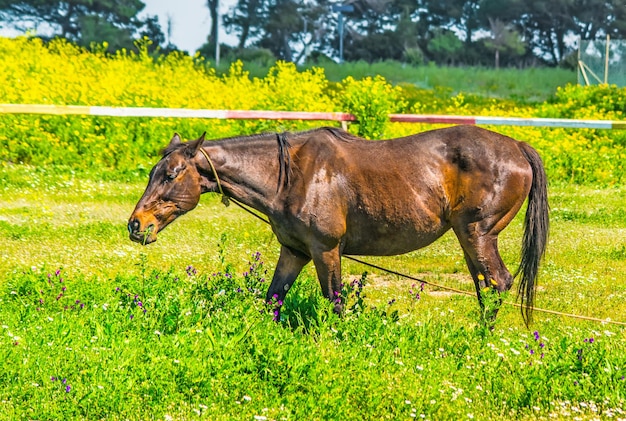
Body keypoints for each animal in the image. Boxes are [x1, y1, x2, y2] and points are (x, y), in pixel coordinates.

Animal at [128, 124, 544, 322]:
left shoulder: (325, 250)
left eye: (171, 174)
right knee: (485, 287)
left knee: (497, 283)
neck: (290, 176)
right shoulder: (294, 251)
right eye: (152, 172)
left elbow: (335, 302)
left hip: (477, 233)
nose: (136, 224)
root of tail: (518, 147)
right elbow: (272, 300)